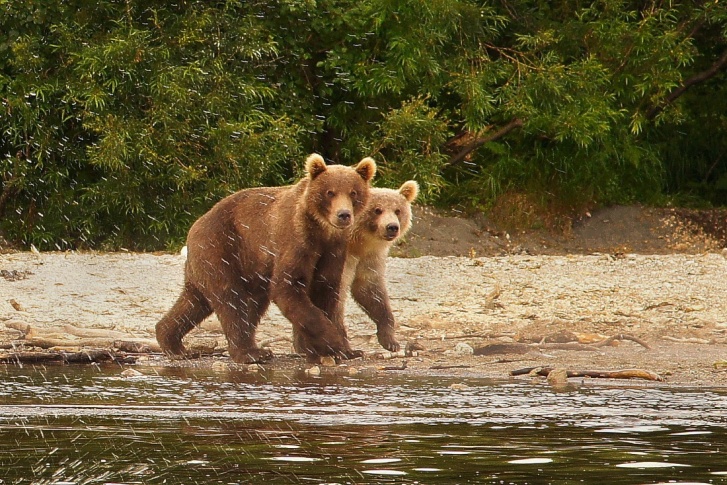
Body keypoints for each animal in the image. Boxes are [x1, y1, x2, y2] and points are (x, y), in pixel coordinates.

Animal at [156, 155, 378, 364]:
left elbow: (326, 290)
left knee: (198, 301)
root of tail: (195, 226)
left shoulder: (333, 249)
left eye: (353, 193)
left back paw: (173, 343)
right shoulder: (296, 241)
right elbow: (288, 288)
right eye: (330, 192)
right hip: (221, 248)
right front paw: (334, 343)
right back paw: (250, 353)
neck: (321, 230)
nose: (344, 214)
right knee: (231, 300)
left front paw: (345, 350)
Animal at [294, 180, 420, 354]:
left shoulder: (369, 258)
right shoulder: (340, 259)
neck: (358, 242)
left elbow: (370, 289)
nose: (392, 227)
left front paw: (390, 340)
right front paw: (346, 348)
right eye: (377, 210)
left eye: (398, 210)